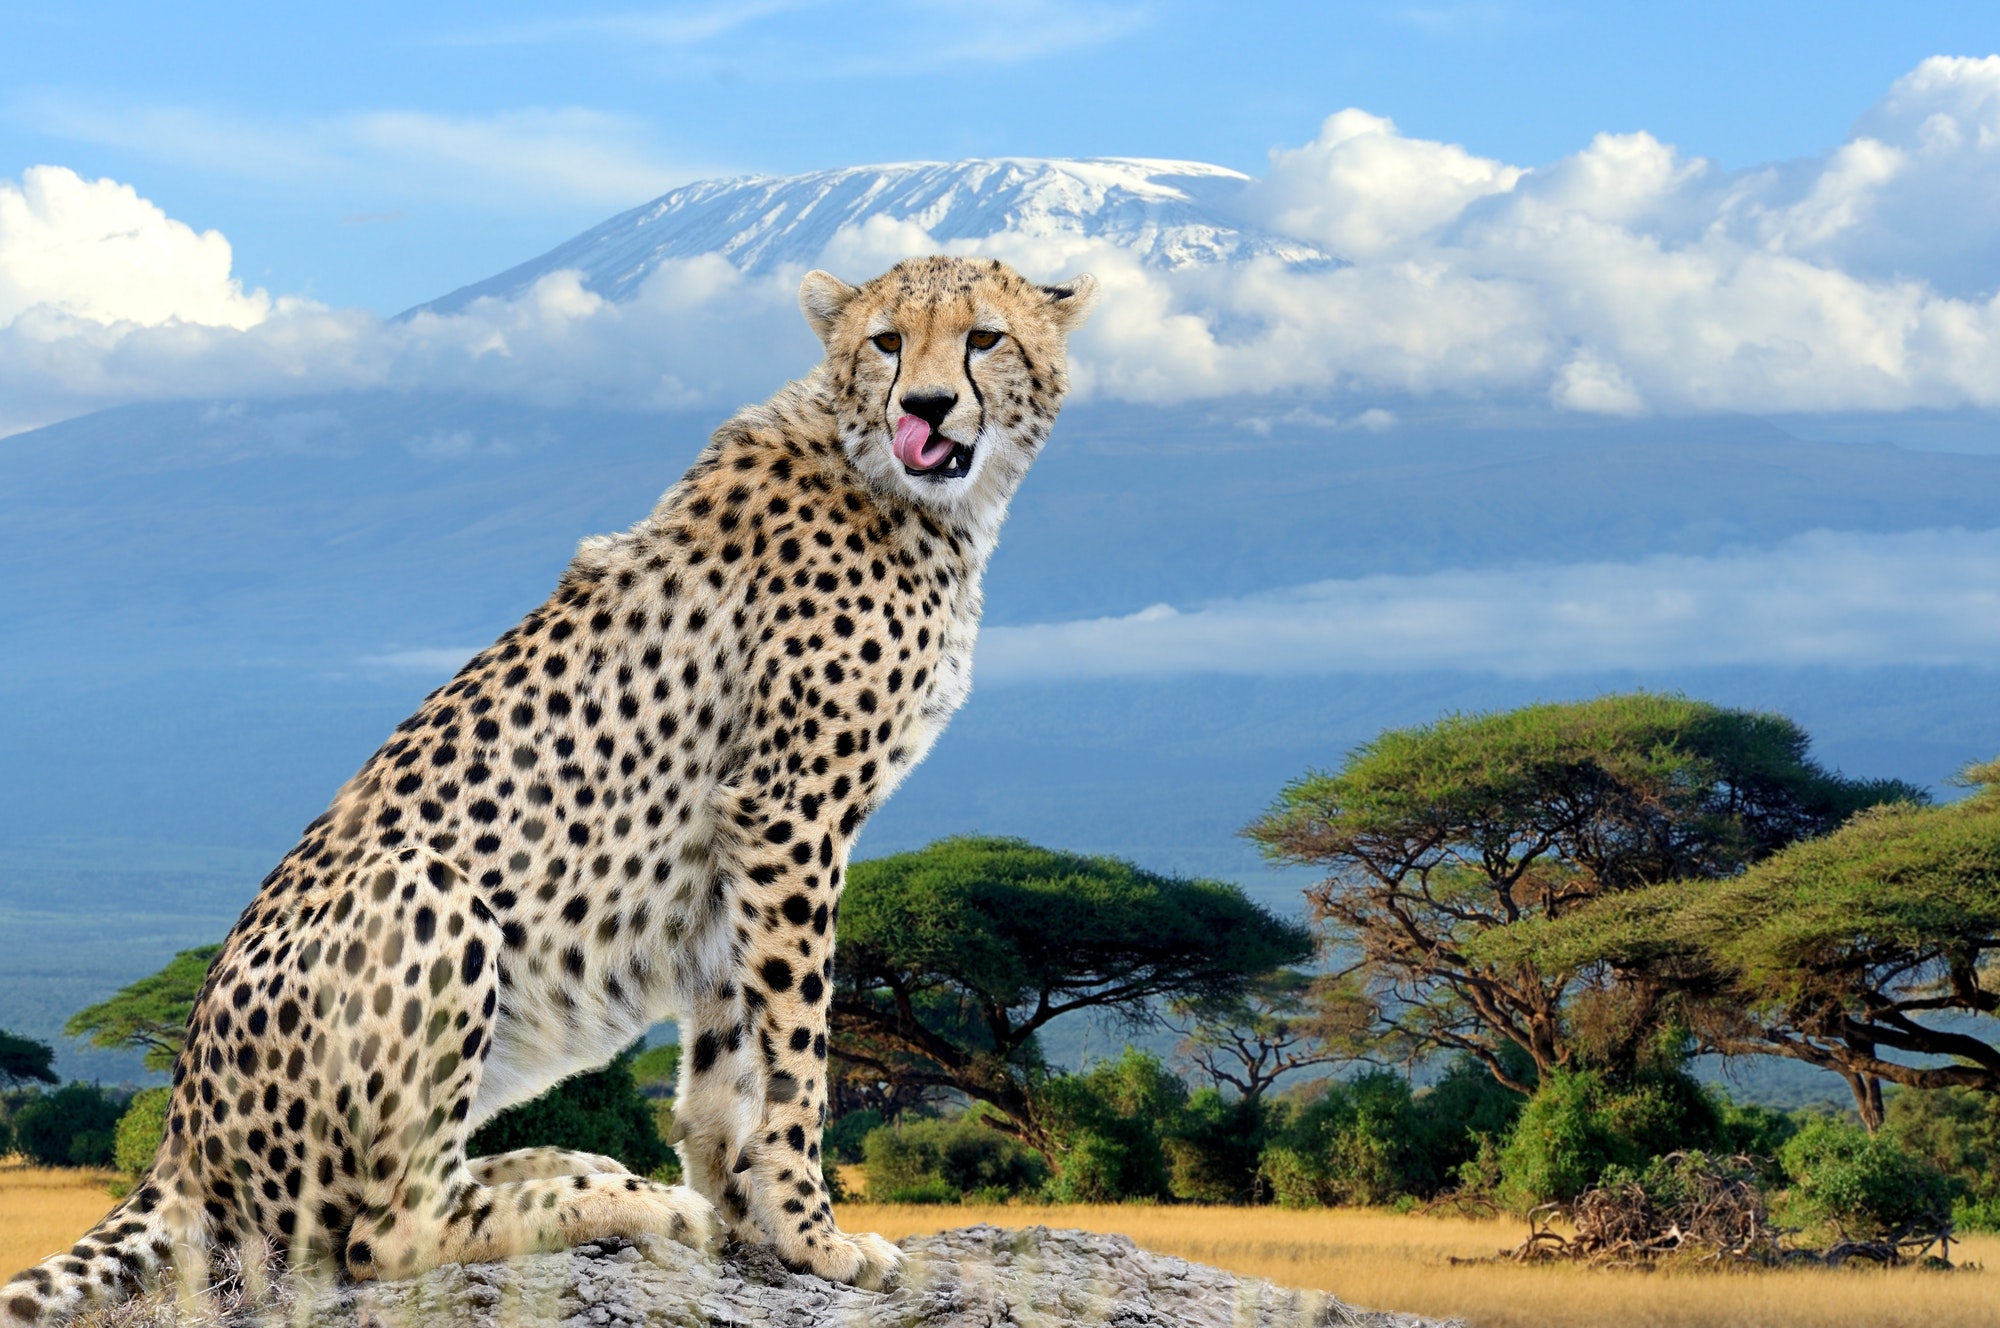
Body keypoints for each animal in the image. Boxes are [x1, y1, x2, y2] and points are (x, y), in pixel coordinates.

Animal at [3, 254, 1096, 1320]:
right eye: (885, 342)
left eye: (984, 337)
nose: (925, 406)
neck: (907, 491)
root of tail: (176, 1138)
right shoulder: (789, 812)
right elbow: (793, 1050)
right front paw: (812, 1236)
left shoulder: (736, 848)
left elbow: (722, 1058)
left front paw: (744, 1216)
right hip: (426, 889)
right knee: (379, 1232)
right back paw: (613, 1198)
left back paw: (575, 1169)